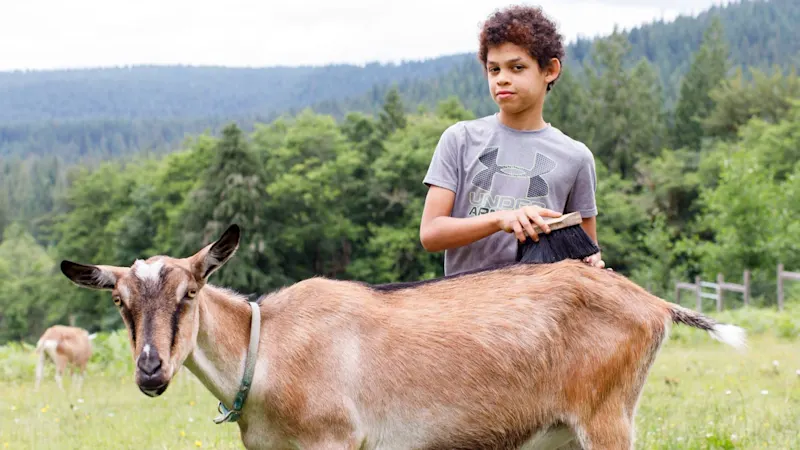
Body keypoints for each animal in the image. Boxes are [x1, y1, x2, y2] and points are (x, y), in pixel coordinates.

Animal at [59, 224, 746, 450]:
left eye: (190, 293)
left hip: (607, 416)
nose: (151, 370)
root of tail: (651, 303)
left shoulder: (335, 441)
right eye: (119, 302)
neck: (268, 348)